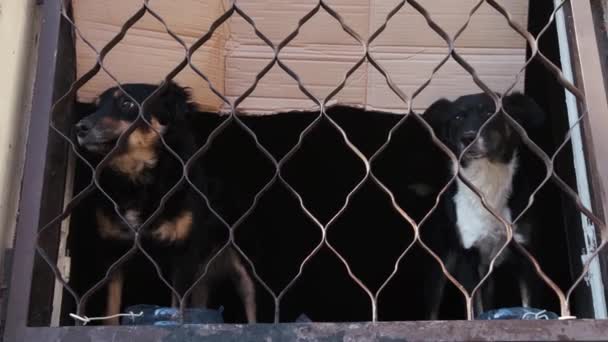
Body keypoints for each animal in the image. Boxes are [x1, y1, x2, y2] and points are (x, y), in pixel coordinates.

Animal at [76, 81, 256, 324]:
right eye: (95, 106)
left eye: (127, 103)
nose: (79, 127)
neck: (137, 179)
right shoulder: (112, 254)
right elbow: (111, 310)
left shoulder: (182, 256)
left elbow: (176, 307)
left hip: (241, 263)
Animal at [420, 92, 544, 320]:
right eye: (457, 117)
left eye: (489, 112)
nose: (467, 138)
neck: (487, 178)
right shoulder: (469, 259)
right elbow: (474, 309)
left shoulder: (526, 256)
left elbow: (529, 304)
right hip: (439, 266)